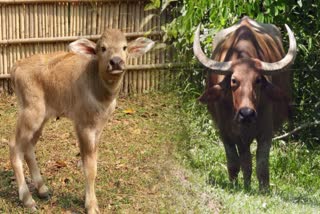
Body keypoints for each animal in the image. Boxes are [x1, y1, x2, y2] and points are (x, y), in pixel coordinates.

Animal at [192, 17, 298, 191]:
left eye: (258, 80)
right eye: (234, 80)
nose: (246, 113)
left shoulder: (266, 131)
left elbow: (261, 163)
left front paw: (263, 189)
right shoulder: (226, 131)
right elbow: (235, 161)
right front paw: (236, 185)